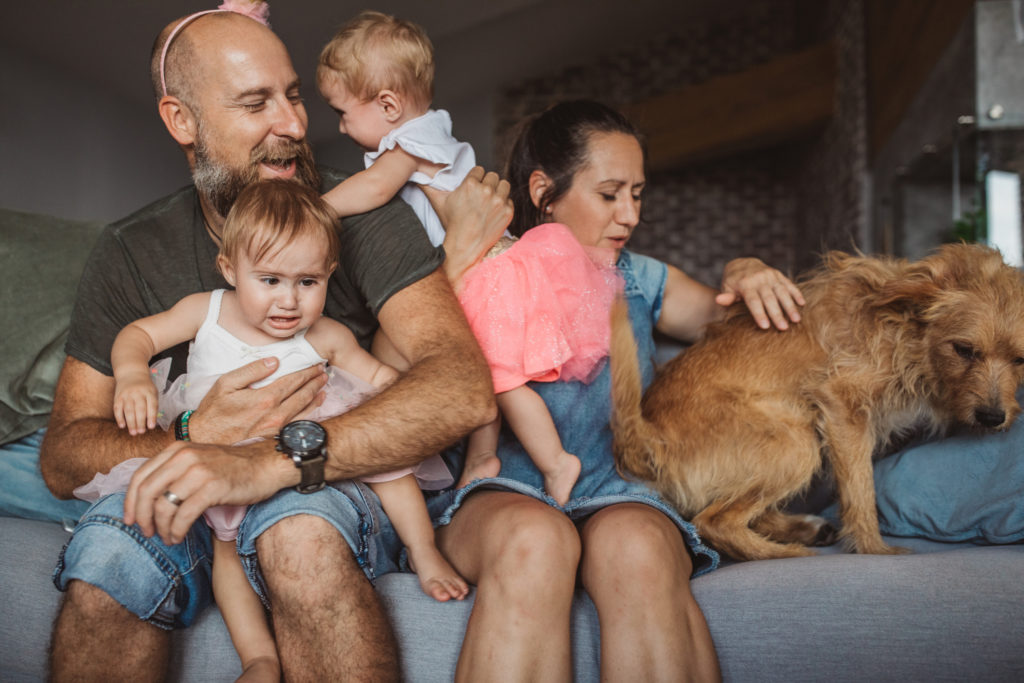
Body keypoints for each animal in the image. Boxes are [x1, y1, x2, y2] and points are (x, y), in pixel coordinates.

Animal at [610, 244, 1024, 561]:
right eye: (964, 349)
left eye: (1021, 359)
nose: (992, 417)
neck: (906, 327)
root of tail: (647, 436)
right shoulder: (842, 403)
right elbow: (861, 490)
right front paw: (876, 551)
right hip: (796, 441)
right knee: (714, 521)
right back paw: (786, 552)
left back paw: (802, 530)